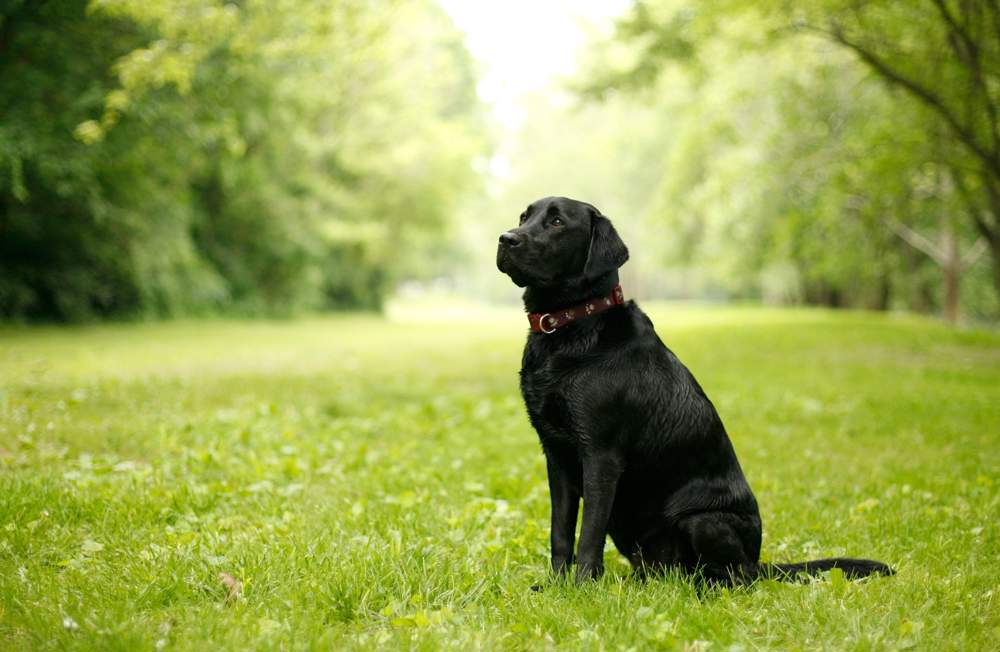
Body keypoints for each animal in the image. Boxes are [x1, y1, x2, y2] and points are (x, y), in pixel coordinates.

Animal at [496, 195, 896, 584]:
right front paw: (556, 586)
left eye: (557, 222)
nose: (505, 238)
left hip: (702, 520)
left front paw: (582, 588)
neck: (574, 327)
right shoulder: (556, 456)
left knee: (736, 577)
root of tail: (759, 561)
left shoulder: (600, 455)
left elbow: (588, 535)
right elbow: (561, 532)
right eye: (523, 216)